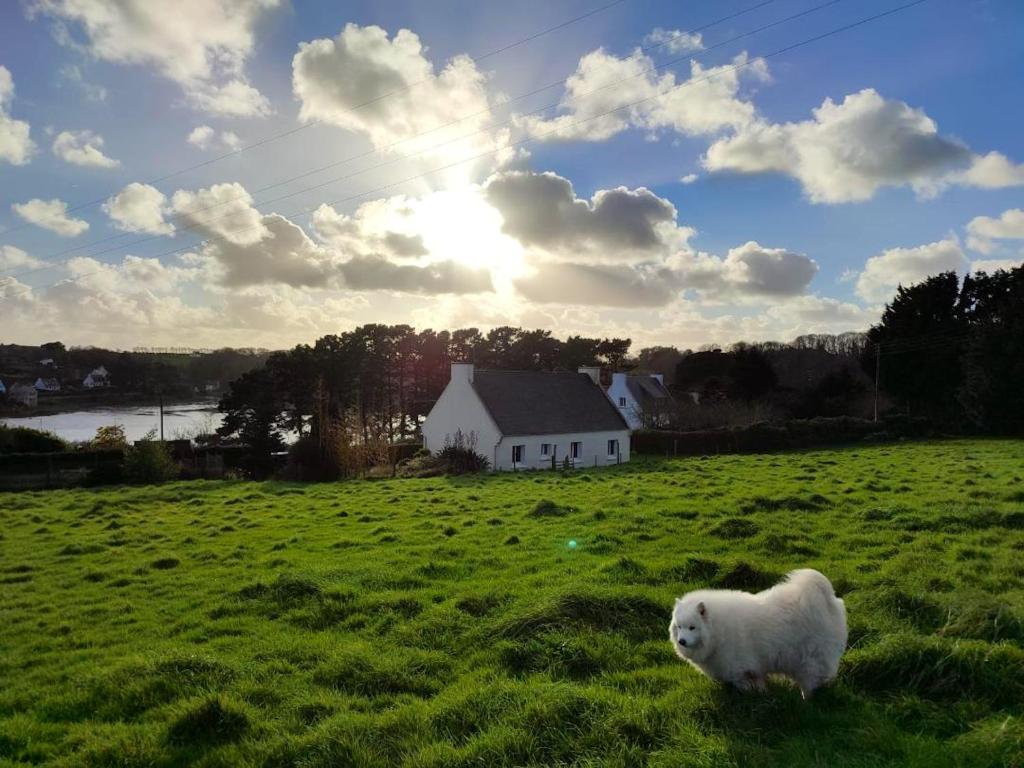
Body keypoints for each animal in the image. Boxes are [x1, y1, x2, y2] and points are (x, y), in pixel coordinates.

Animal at [667, 569, 843, 700]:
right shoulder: (755, 670)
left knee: (810, 683)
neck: (717, 631)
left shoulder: (740, 670)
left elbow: (746, 688)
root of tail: (826, 599)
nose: (681, 641)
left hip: (809, 661)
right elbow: (761, 685)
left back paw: (806, 701)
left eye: (692, 627)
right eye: (679, 627)